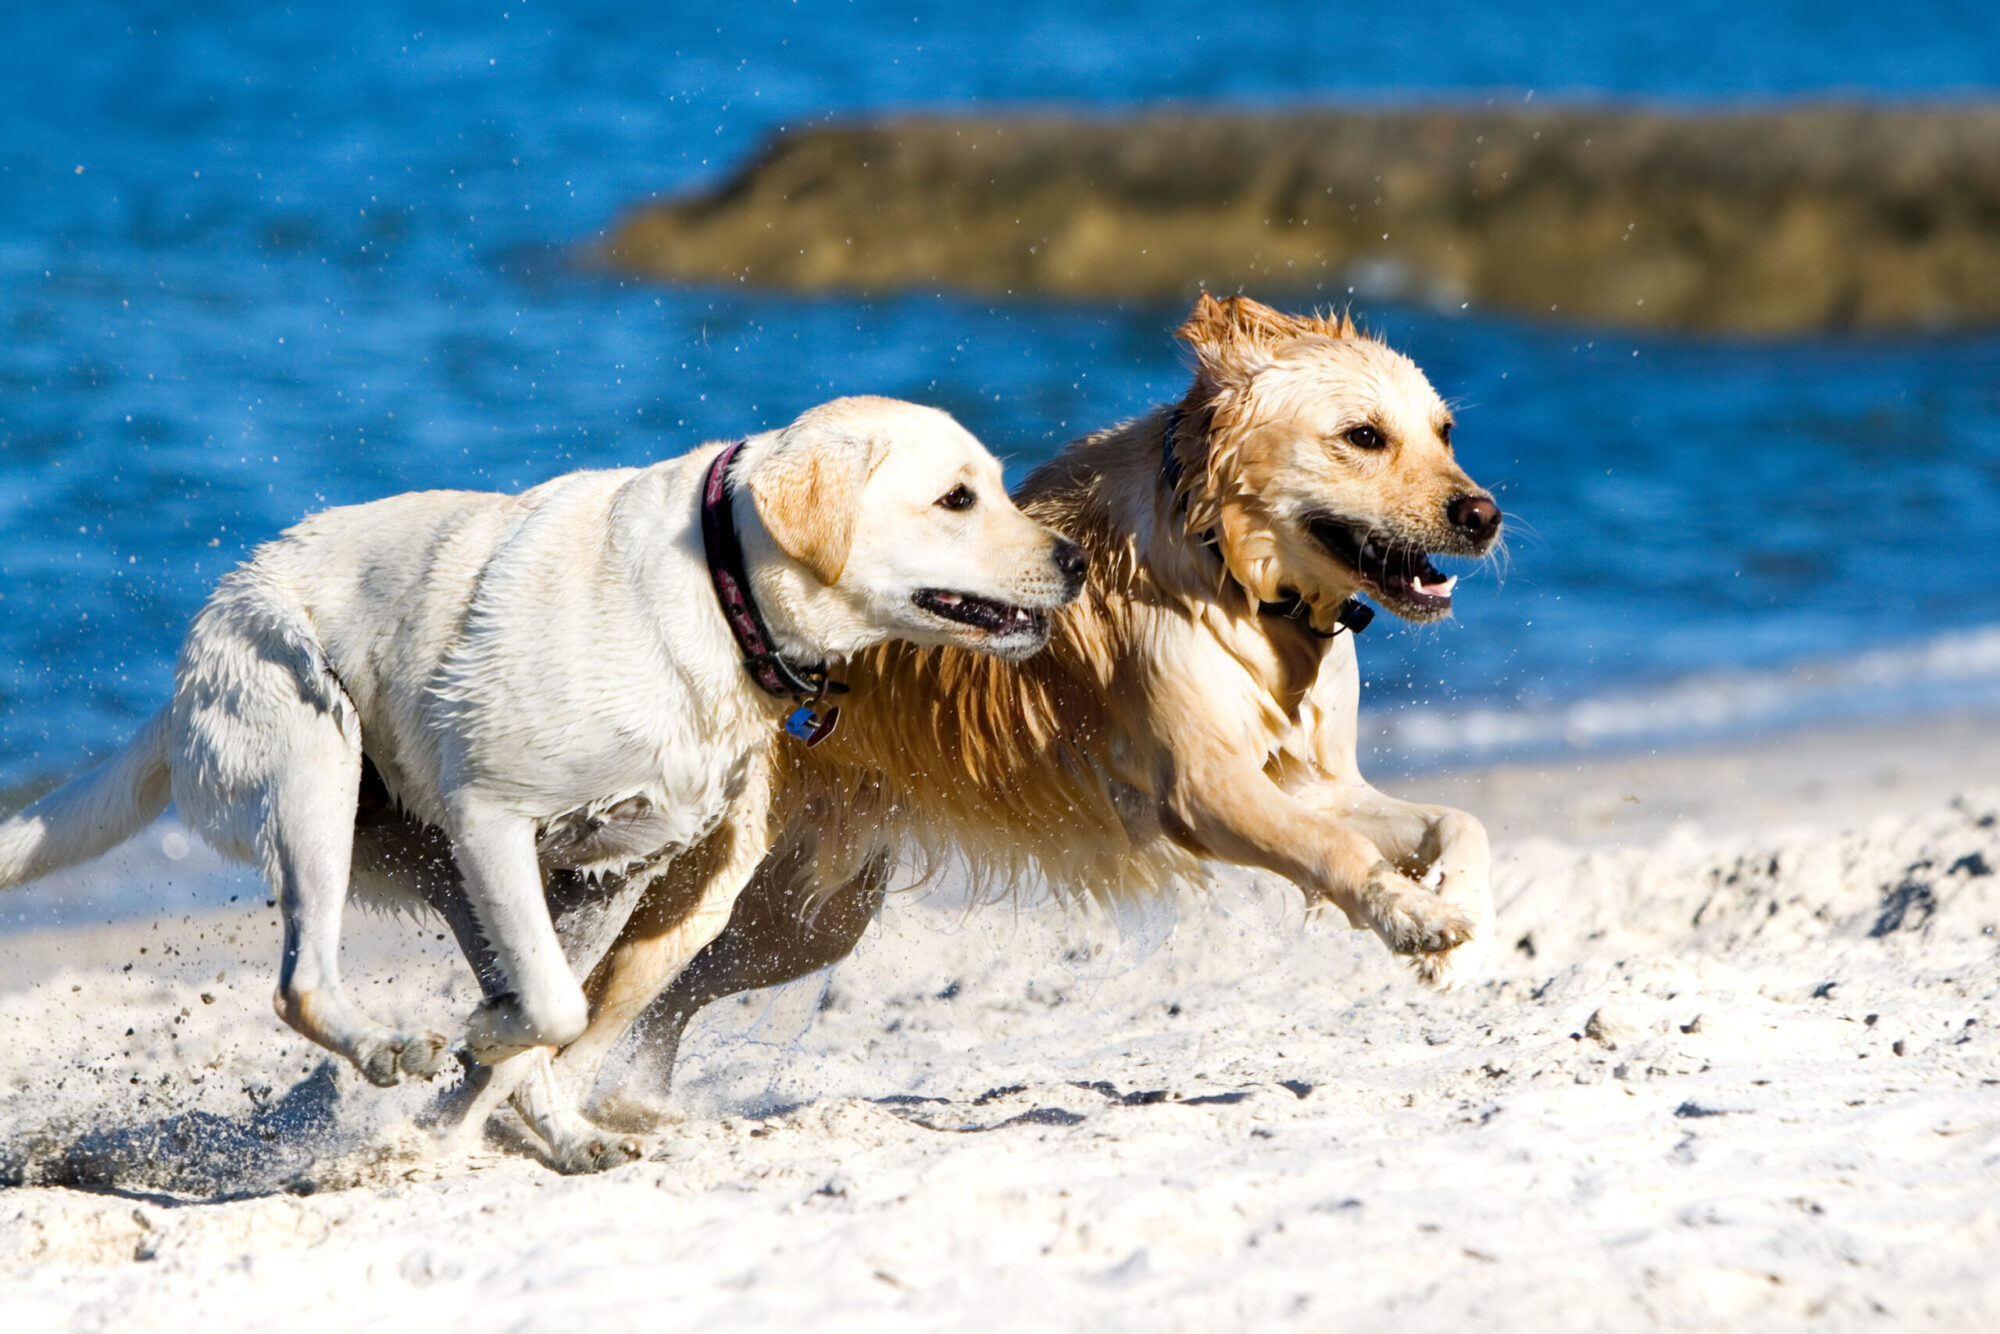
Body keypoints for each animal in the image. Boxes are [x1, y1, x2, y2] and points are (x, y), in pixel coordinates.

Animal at [0, 394, 1088, 1168]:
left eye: (996, 487)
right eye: (957, 499)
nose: (1077, 557)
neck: (721, 588)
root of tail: (186, 667)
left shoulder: (616, 866)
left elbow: (555, 1007)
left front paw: (499, 1061)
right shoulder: (495, 819)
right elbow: (558, 1008)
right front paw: (480, 1040)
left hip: (444, 863)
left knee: (505, 998)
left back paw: (542, 1124)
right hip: (316, 758)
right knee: (304, 982)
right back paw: (398, 1053)